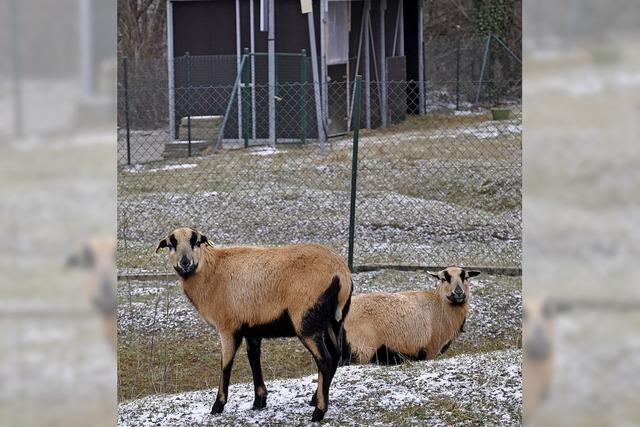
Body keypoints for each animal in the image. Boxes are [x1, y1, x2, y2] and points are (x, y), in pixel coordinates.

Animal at [157, 229, 352, 422]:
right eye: (171, 244)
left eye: (196, 241)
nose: (185, 263)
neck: (211, 271)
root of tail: (341, 272)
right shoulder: (252, 329)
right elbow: (253, 359)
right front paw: (259, 401)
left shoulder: (228, 328)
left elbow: (226, 365)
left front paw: (218, 405)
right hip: (333, 321)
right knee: (336, 354)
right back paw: (314, 399)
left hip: (306, 320)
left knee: (325, 359)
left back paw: (319, 411)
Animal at [340, 268, 480, 364]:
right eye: (443, 278)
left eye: (466, 277)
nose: (458, 293)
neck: (440, 307)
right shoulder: (431, 350)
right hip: (361, 349)